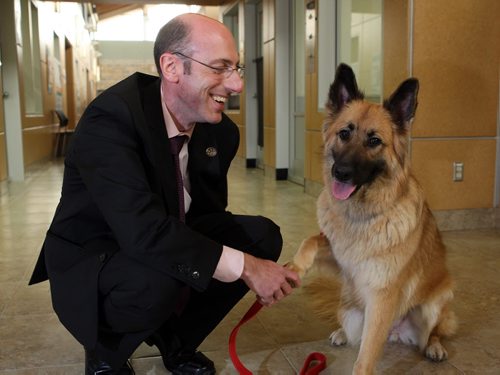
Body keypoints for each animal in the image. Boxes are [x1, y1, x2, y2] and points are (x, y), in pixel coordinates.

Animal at [290, 63, 458, 374]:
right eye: (344, 133)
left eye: (374, 141)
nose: (341, 173)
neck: (362, 216)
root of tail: (396, 333)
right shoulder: (340, 256)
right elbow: (311, 239)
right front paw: (296, 267)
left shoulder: (381, 297)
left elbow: (365, 358)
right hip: (349, 311)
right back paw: (342, 333)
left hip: (435, 303)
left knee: (435, 330)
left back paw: (434, 346)